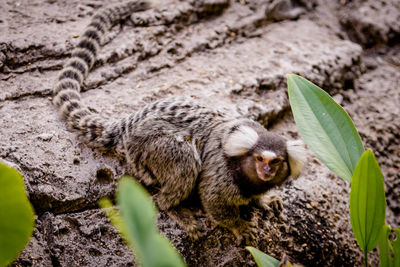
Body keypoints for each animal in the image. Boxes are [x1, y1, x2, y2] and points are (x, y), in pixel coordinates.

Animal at [53, 0, 308, 241]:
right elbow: (213, 200)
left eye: (276, 162)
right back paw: (174, 209)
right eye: (260, 158)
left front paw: (264, 200)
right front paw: (239, 225)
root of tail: (128, 124)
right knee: (183, 164)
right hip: (151, 147)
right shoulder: (222, 176)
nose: (266, 170)